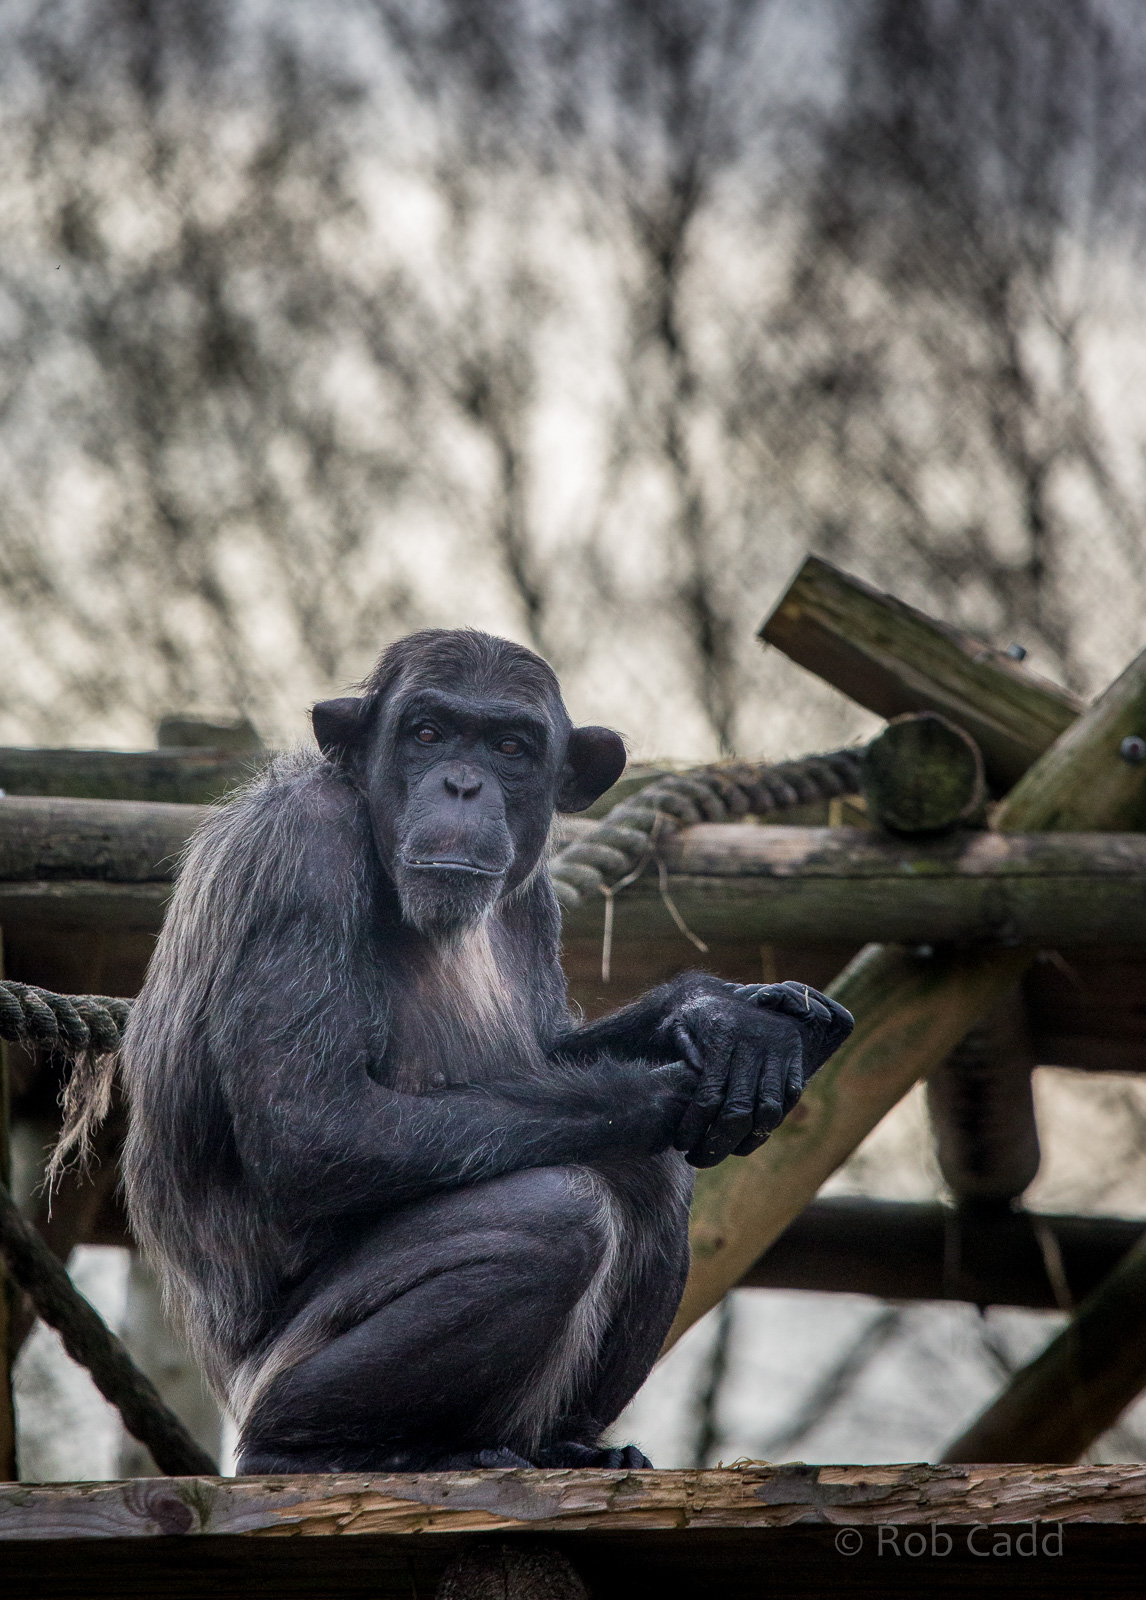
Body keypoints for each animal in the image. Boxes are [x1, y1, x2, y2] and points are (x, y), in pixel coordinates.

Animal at [118, 629, 853, 1472]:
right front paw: (697, 1074)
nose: (464, 785)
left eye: (510, 746)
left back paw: (567, 1445)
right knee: (556, 1211)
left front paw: (716, 1012)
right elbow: (313, 1124)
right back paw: (317, 1449)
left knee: (652, 1184)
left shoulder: (535, 898)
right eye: (426, 732)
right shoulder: (301, 857)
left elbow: (548, 1055)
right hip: (275, 1370)